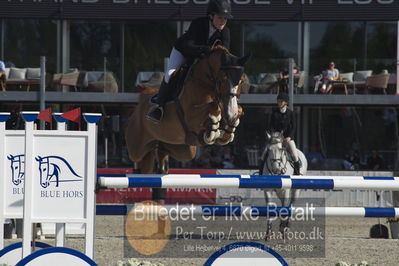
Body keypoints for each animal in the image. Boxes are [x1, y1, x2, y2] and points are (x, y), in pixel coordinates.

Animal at [126, 45, 250, 179]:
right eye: (223, 80)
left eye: (241, 81)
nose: (231, 115)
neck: (203, 83)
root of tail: (139, 107)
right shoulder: (190, 116)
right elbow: (213, 106)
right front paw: (214, 126)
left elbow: (237, 109)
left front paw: (227, 129)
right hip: (137, 148)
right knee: (137, 158)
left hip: (184, 149)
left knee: (160, 151)